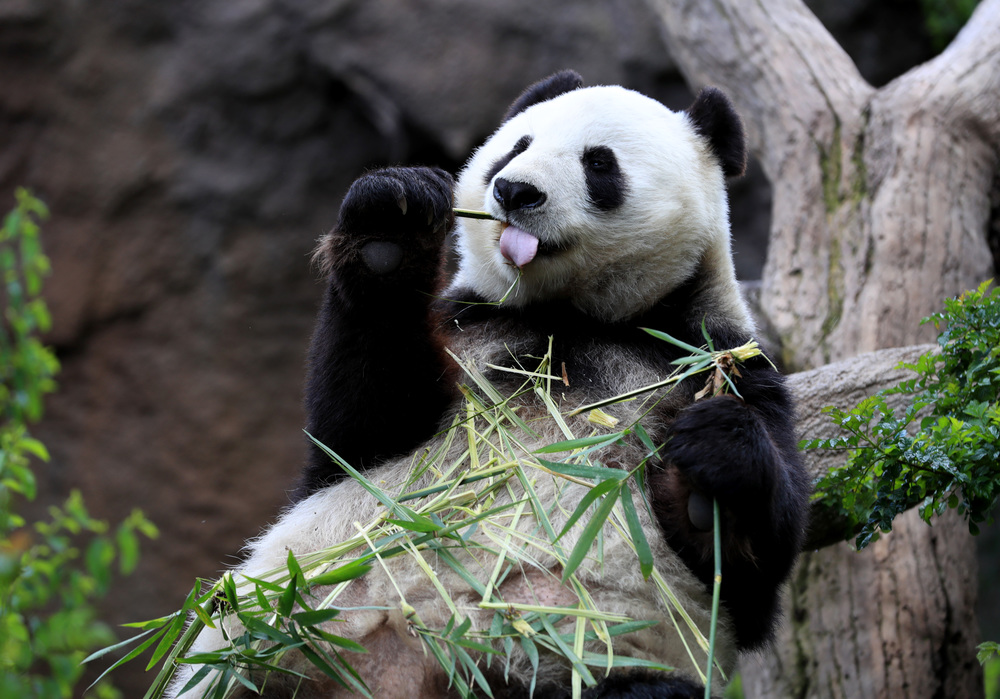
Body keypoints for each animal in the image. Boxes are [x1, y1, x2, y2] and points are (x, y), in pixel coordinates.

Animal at [170, 72, 812, 699]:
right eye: (516, 146)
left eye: (599, 163)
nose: (515, 191)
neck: (568, 316)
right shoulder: (469, 328)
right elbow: (357, 435)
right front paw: (391, 228)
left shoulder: (710, 359)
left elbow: (746, 577)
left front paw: (714, 458)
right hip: (276, 646)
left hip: (583, 665)